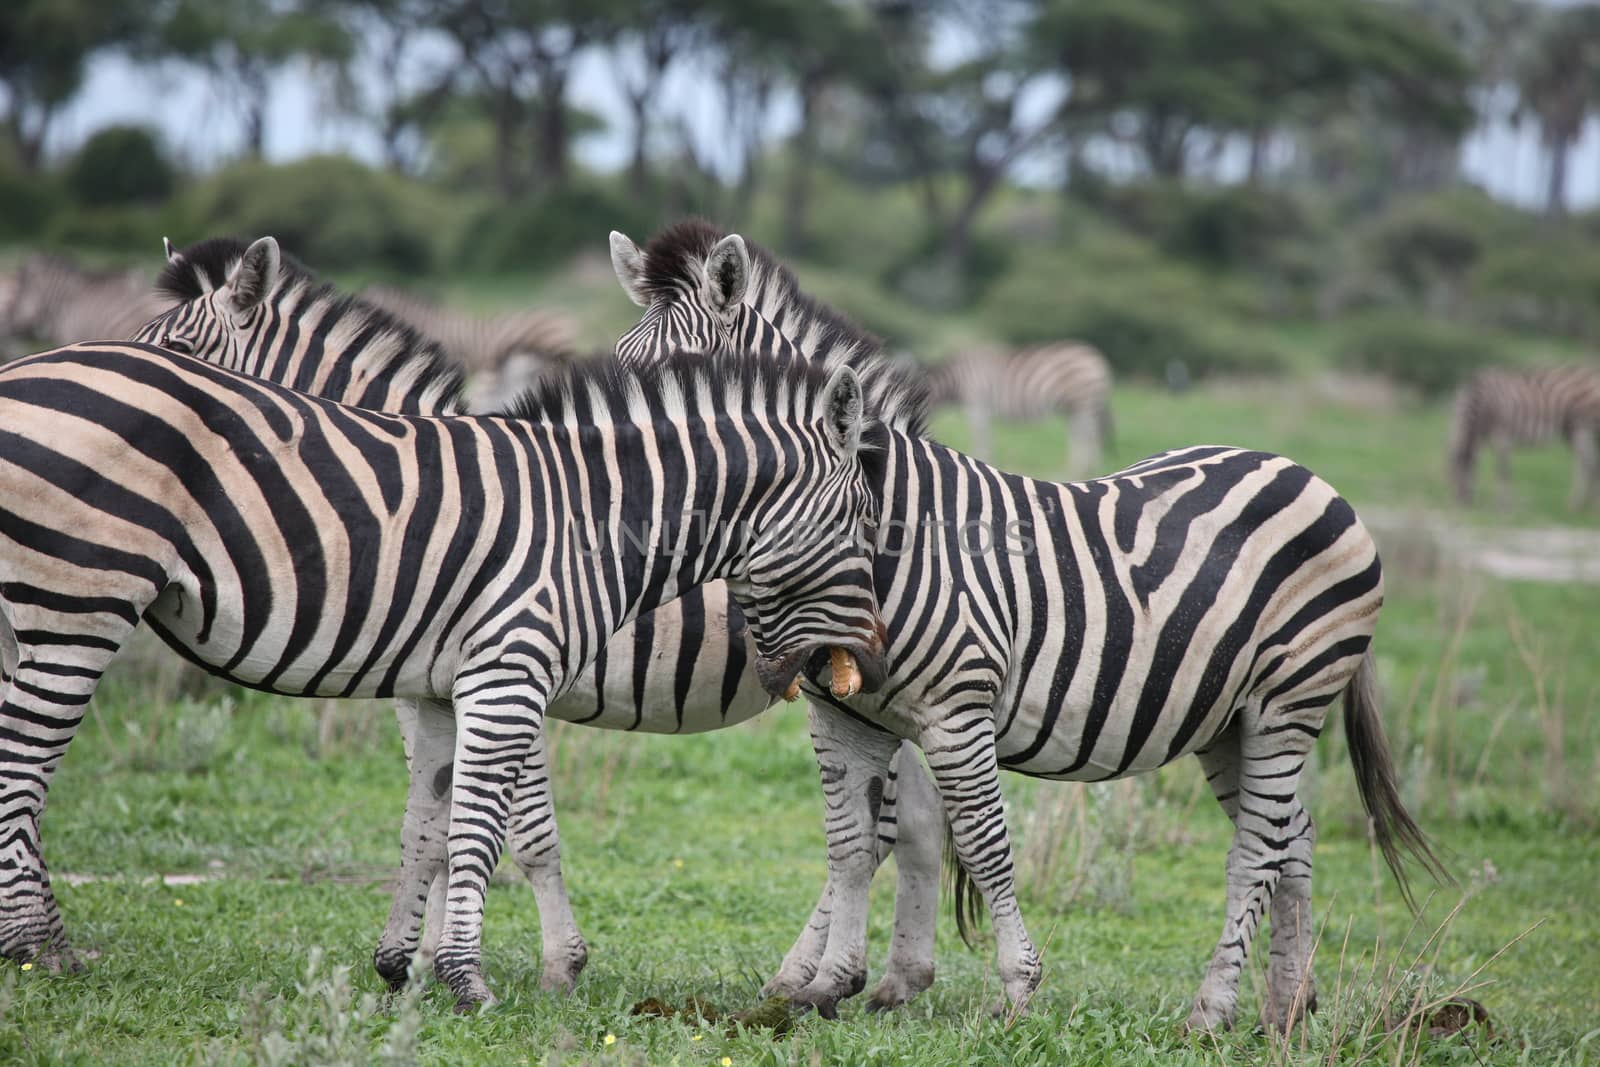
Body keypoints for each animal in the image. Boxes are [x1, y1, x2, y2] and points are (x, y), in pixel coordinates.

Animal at [137, 233, 940, 1004]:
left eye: (176, 353)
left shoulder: (496, 674)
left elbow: (508, 830)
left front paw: (543, 965)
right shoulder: (450, 678)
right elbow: (438, 820)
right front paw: (423, 958)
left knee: (879, 834)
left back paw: (813, 976)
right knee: (915, 825)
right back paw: (893, 976)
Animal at [928, 343, 1113, 476]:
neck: (957, 379)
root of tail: (1096, 357)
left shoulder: (977, 403)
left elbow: (980, 435)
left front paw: (981, 458)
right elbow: (983, 435)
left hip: (1083, 401)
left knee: (1088, 434)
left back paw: (1082, 469)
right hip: (1075, 407)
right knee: (1082, 433)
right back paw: (1082, 467)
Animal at [1452, 364, 1600, 511]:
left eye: (1463, 474)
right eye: (1452, 475)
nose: (1462, 505)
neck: (1483, 403)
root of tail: (1591, 373)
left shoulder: (1502, 435)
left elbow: (1503, 470)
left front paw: (1503, 506)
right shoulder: (1482, 436)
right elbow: (1487, 464)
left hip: (1581, 425)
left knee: (1587, 462)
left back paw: (1580, 504)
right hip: (1571, 429)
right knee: (1588, 461)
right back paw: (1584, 504)